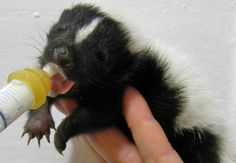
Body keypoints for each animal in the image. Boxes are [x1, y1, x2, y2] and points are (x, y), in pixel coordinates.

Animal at [22, 3, 232, 163]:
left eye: (101, 56)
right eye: (62, 28)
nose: (63, 55)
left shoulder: (122, 85)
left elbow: (99, 113)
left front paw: (62, 133)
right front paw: (38, 122)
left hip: (193, 137)